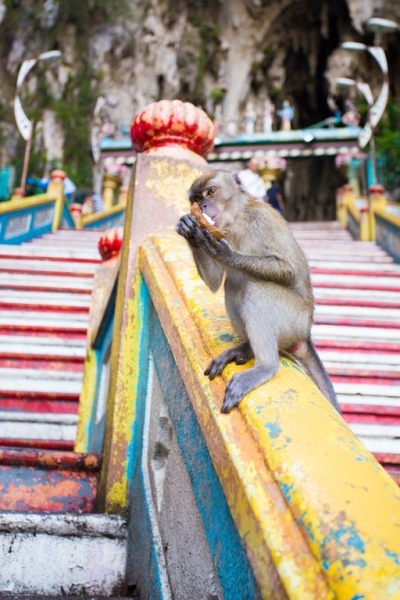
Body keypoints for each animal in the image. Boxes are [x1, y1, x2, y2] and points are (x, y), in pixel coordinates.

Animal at [176, 168, 340, 412]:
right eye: (196, 198)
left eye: (211, 192)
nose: (202, 206)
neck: (237, 219)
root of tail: (306, 333)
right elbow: (215, 282)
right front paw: (188, 227)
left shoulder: (262, 220)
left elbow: (287, 270)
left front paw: (226, 255)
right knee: (233, 284)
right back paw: (247, 348)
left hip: (295, 320)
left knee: (255, 287)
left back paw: (265, 367)